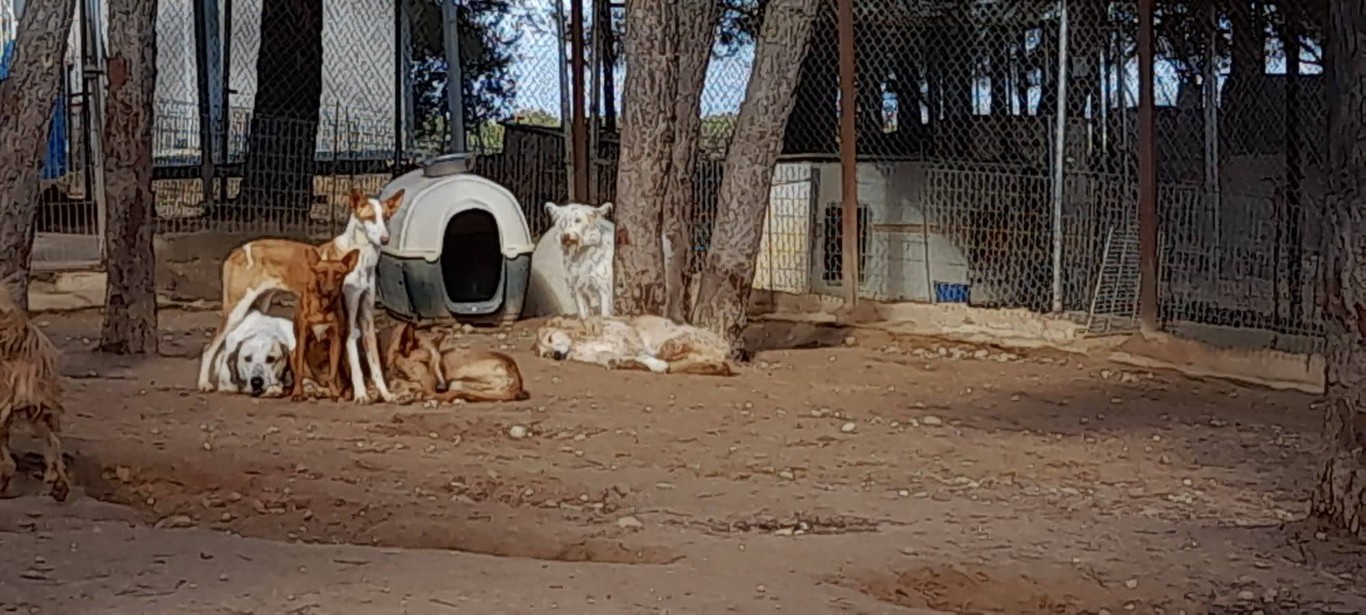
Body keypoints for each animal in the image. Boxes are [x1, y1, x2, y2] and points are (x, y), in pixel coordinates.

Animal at [290, 248, 360, 402]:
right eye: (321, 273)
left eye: (339, 274)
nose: (330, 289)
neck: (323, 306)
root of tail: (320, 381)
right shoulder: (302, 338)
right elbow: (299, 371)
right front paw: (297, 393)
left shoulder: (335, 341)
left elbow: (333, 373)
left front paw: (335, 393)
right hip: (293, 353)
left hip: (345, 356)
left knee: (340, 380)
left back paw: (339, 392)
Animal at [534, 315, 734, 376]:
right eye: (545, 355)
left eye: (550, 338)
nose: (555, 356)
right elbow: (605, 355)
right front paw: (618, 362)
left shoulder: (630, 339)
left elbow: (641, 354)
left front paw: (655, 365)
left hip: (677, 339)